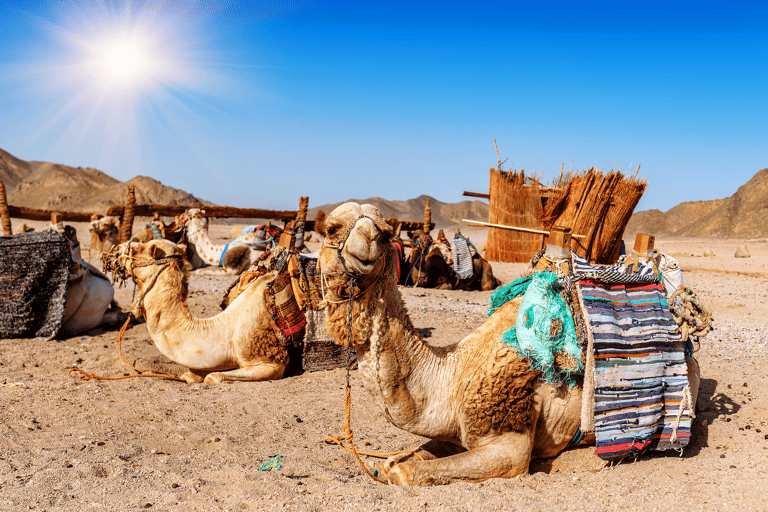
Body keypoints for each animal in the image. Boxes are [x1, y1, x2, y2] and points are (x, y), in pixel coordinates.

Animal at [316, 202, 700, 486]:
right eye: (332, 228)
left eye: (383, 233)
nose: (366, 245)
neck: (451, 377)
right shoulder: (455, 429)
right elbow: (398, 460)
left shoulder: (507, 440)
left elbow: (406, 473)